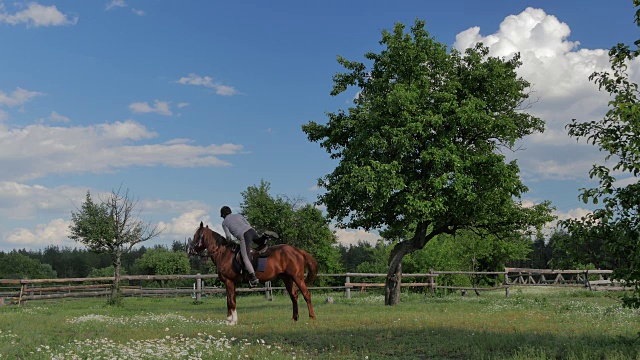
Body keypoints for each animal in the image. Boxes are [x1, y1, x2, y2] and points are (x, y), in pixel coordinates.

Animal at [188, 221, 318, 324]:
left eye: (196, 236)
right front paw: (229, 319)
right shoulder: (230, 283)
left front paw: (232, 321)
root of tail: (298, 251)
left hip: (298, 278)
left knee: (306, 295)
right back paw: (294, 318)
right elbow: (230, 300)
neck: (223, 253)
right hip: (287, 279)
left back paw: (312, 317)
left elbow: (231, 301)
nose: (190, 250)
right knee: (294, 296)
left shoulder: (229, 281)